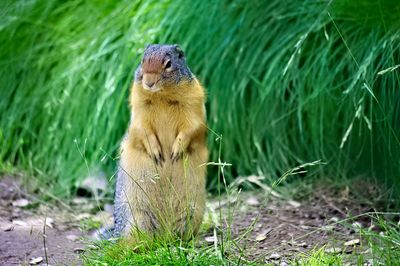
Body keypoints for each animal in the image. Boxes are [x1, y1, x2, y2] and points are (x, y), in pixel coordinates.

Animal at [104, 44, 208, 243]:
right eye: (142, 60)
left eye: (168, 64)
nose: (149, 82)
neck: (161, 95)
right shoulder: (138, 109)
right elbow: (143, 129)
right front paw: (156, 152)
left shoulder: (194, 103)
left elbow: (192, 127)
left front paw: (176, 150)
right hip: (138, 218)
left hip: (191, 214)